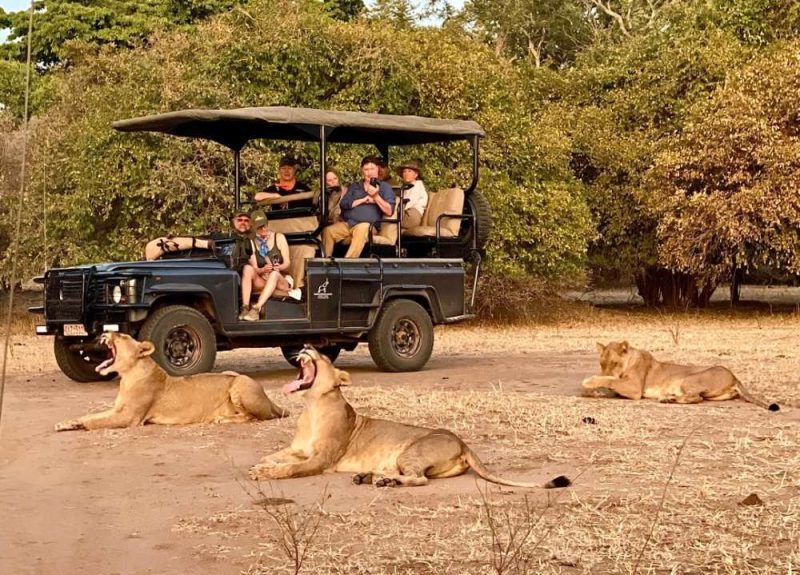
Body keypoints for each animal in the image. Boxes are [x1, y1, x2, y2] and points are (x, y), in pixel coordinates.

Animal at [53, 332, 286, 432]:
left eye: (121, 335)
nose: (104, 332)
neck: (127, 376)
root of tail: (268, 398)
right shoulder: (117, 409)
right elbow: (91, 415)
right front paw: (68, 422)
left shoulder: (130, 417)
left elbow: (97, 422)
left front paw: (82, 426)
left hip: (240, 383)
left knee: (256, 417)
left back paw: (223, 419)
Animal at [247, 348, 564, 488]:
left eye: (323, 355)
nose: (306, 346)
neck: (312, 404)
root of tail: (463, 443)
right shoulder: (298, 450)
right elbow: (275, 456)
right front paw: (261, 464)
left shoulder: (322, 459)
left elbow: (290, 468)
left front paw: (264, 473)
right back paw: (371, 477)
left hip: (410, 452)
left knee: (419, 479)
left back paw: (383, 480)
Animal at [584, 340, 780, 412]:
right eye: (602, 363)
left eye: (615, 363)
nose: (603, 369)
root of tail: (734, 376)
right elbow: (610, 381)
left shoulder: (634, 389)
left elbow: (610, 380)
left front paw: (589, 382)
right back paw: (668, 397)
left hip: (689, 379)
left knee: (696, 398)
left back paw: (668, 399)